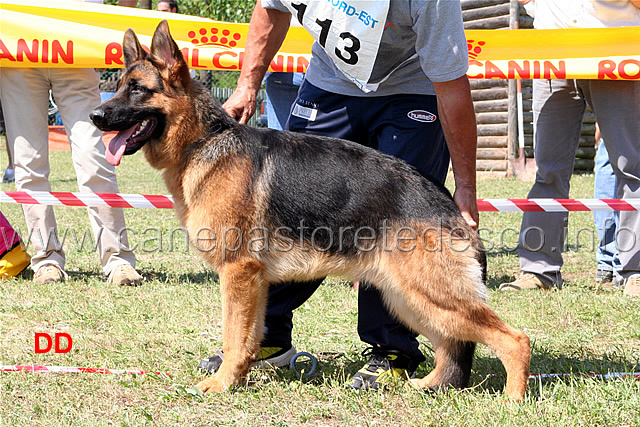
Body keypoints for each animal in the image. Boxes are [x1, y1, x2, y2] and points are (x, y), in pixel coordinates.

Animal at [90, 20, 528, 402]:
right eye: (118, 88)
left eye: (138, 90)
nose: (96, 117)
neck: (202, 142)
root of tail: (450, 207)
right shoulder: (255, 281)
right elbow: (248, 338)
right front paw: (239, 376)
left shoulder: (238, 273)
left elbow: (233, 335)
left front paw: (222, 384)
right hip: (409, 299)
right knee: (449, 343)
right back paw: (428, 384)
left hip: (429, 296)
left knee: (514, 339)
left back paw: (512, 399)